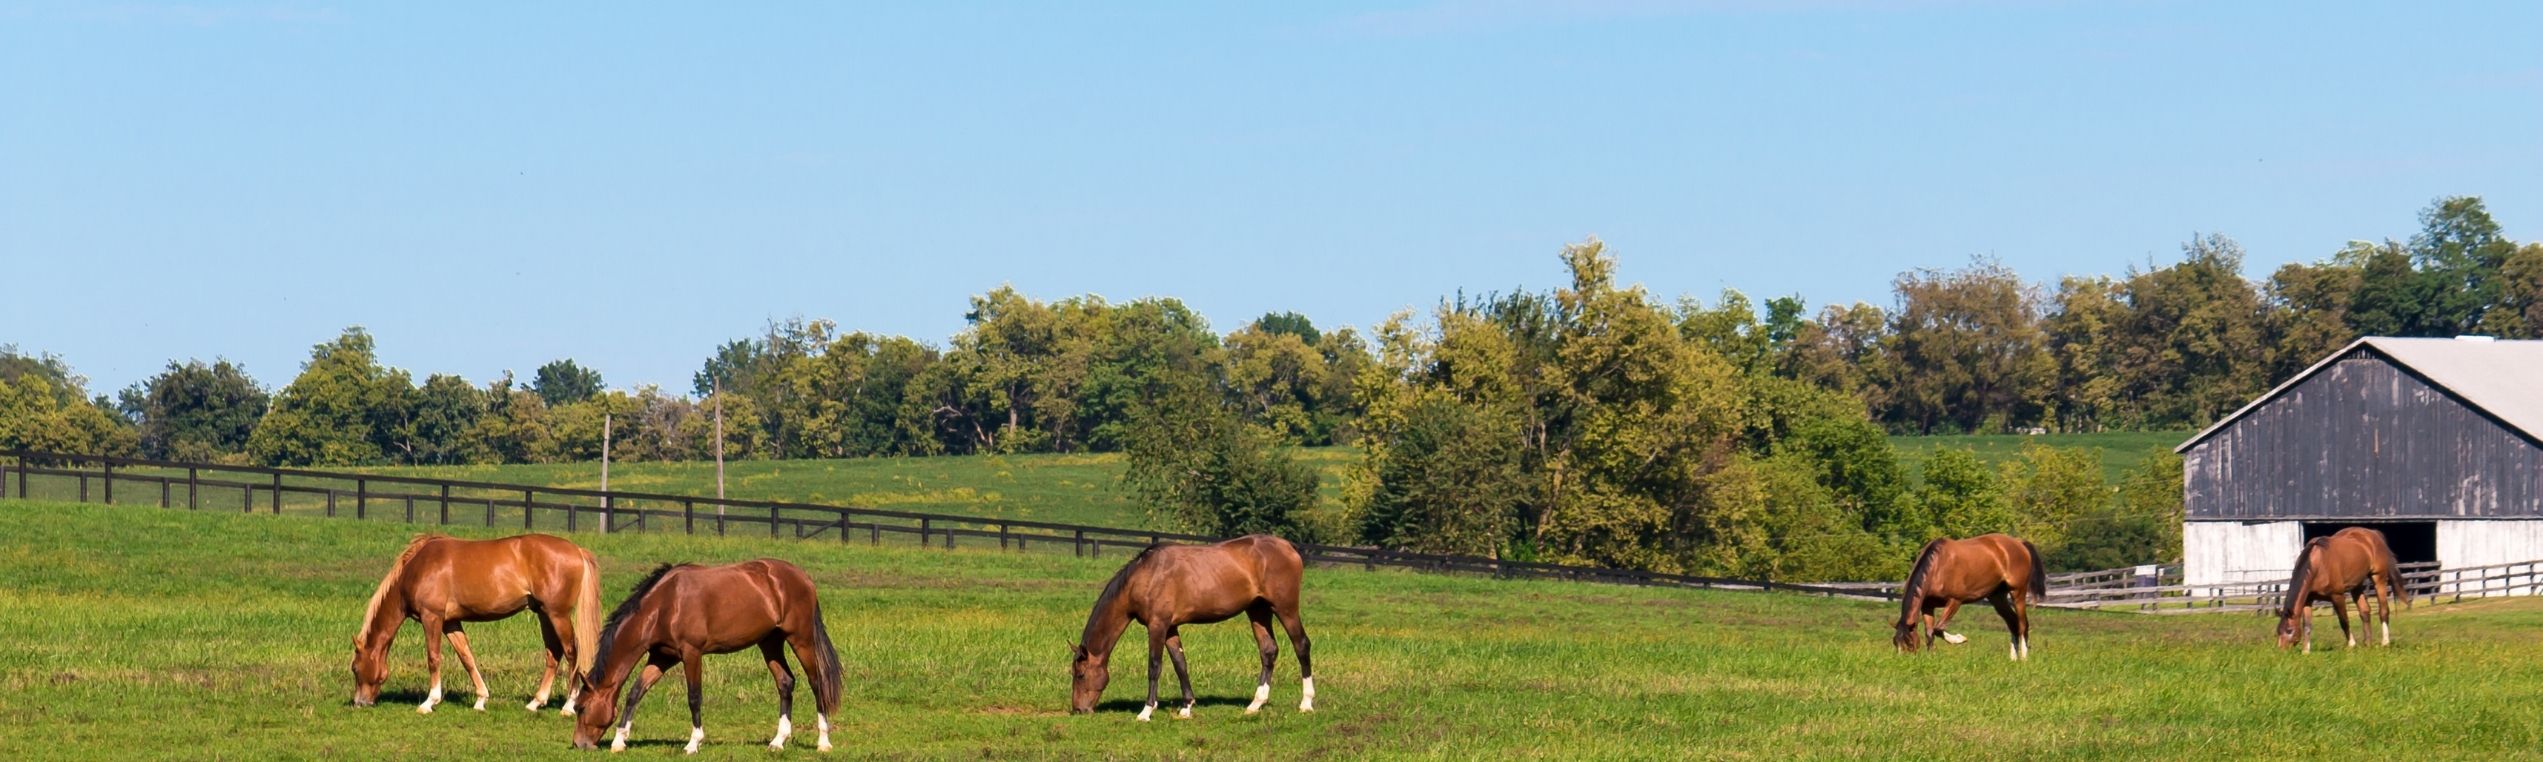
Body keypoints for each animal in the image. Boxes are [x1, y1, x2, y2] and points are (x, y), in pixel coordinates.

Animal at [353, 533, 600, 711]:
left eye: (355, 668)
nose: (359, 703)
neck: (418, 567)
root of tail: (577, 550)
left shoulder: (432, 617)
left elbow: (433, 658)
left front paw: (430, 701)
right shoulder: (450, 623)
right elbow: (467, 657)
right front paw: (481, 699)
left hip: (557, 615)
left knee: (571, 653)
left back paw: (568, 705)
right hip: (544, 613)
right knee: (553, 654)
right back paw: (535, 702)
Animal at [569, 558, 839, 756]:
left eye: (580, 707)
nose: (579, 744)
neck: (665, 604)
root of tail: (803, 577)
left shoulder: (692, 653)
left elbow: (694, 697)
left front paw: (693, 743)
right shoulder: (661, 657)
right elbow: (635, 692)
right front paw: (619, 741)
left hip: (801, 639)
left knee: (817, 683)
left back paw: (823, 742)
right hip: (770, 642)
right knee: (785, 682)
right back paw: (778, 741)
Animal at [1068, 535, 1312, 721]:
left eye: (1080, 675)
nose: (1079, 709)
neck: (1147, 575)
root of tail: (1289, 547)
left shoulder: (1157, 626)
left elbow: (1154, 666)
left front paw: (1146, 711)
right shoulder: (1170, 628)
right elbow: (1180, 664)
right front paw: (1186, 707)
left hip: (1285, 608)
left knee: (1301, 645)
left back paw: (1306, 703)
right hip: (1258, 611)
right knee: (1268, 651)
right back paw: (1255, 704)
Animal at [1891, 533, 2044, 655]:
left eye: (1909, 643)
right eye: (1895, 643)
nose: (1904, 661)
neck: (1937, 567)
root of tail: (2019, 543)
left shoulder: (1955, 601)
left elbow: (1938, 629)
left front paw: (1959, 639)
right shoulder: (1927, 606)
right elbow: (1929, 633)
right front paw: (1931, 657)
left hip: (2018, 592)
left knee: (2022, 624)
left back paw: (2023, 658)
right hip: (1997, 597)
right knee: (2013, 623)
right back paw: (2013, 658)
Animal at [2278, 525, 2410, 650]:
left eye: (2289, 630)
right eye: (2278, 631)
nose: (2282, 651)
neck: (2317, 564)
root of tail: (2373, 534)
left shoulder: (2337, 596)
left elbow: (2344, 620)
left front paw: (2351, 644)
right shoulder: (2308, 599)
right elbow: (2307, 625)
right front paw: (2306, 651)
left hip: (2378, 578)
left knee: (2383, 610)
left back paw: (2385, 642)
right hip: (2356, 585)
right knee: (2365, 611)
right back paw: (2367, 644)